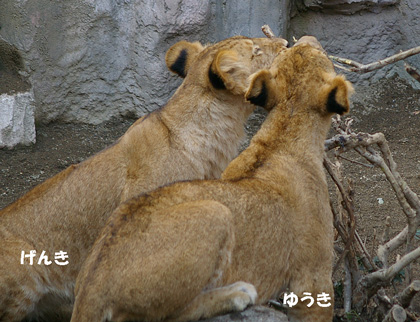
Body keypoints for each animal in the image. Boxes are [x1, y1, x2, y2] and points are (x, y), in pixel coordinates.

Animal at [70, 35, 352, 322]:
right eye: (321, 54)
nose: (300, 40)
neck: (281, 137)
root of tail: (92, 286)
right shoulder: (312, 275)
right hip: (216, 213)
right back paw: (236, 294)